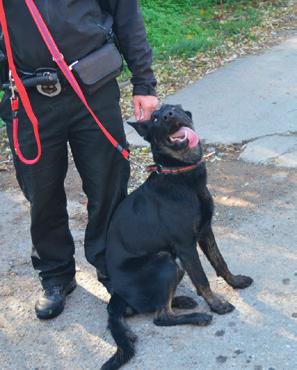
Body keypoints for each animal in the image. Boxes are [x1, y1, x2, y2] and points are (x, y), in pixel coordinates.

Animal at [101, 104, 252, 370]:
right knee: (161, 317)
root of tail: (117, 293)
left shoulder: (205, 232)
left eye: (172, 109)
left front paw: (235, 282)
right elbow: (202, 278)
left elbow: (220, 262)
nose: (168, 115)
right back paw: (199, 315)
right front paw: (217, 305)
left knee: (161, 304)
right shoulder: (186, 246)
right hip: (166, 260)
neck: (179, 174)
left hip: (174, 264)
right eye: (155, 118)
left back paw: (182, 301)